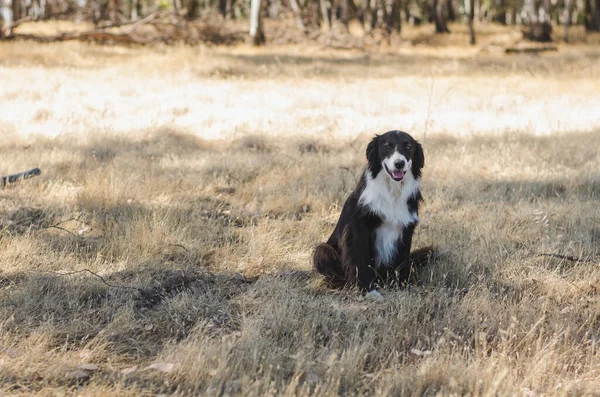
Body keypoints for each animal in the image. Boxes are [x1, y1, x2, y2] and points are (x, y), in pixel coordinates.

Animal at [312, 130, 428, 296]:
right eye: (387, 146)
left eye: (408, 146)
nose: (399, 164)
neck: (392, 189)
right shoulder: (359, 228)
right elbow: (363, 261)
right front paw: (368, 290)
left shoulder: (406, 228)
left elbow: (403, 262)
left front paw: (403, 287)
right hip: (323, 250)